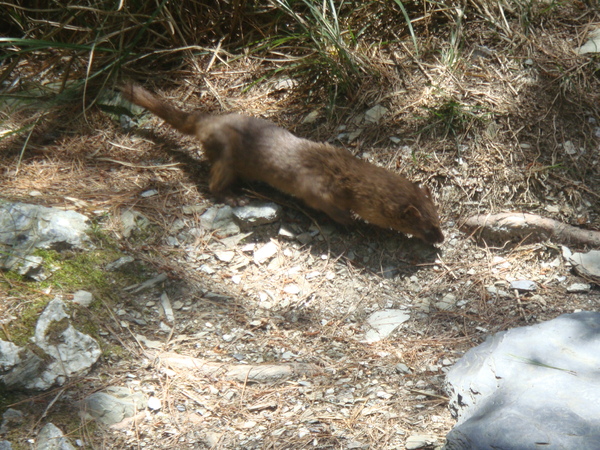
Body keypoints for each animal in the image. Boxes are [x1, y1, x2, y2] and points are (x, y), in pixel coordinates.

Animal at [119, 84, 442, 246]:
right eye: (426, 227)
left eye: (438, 219)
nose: (440, 239)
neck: (343, 172)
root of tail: (209, 121)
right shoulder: (317, 190)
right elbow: (329, 207)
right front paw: (351, 223)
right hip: (228, 158)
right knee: (214, 182)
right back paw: (236, 197)